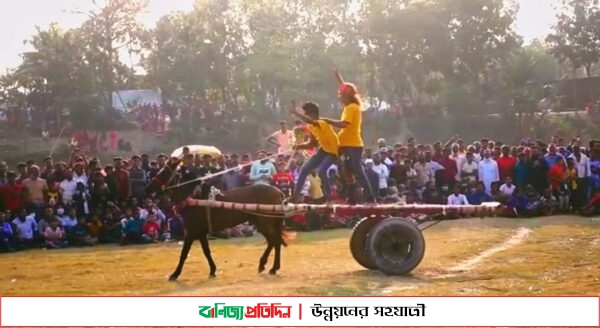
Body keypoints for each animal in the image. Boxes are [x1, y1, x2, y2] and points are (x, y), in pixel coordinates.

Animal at [143, 160, 288, 280]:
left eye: (164, 172)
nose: (147, 188)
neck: (194, 198)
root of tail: (278, 192)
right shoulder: (200, 233)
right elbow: (206, 251)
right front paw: (213, 270)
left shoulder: (191, 232)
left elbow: (184, 253)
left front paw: (175, 274)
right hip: (262, 223)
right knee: (273, 241)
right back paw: (268, 266)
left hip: (265, 222)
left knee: (275, 241)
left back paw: (271, 267)